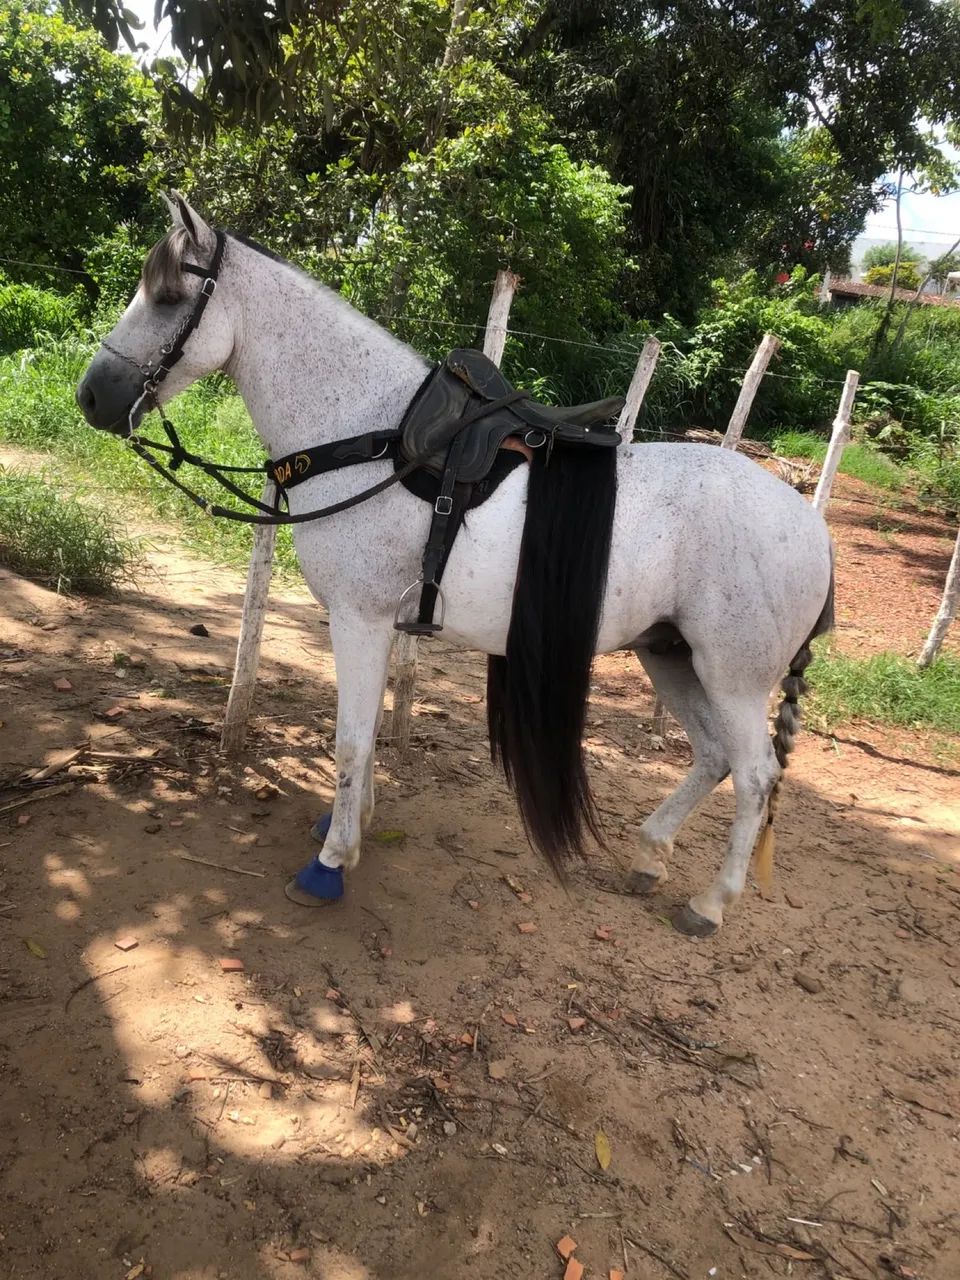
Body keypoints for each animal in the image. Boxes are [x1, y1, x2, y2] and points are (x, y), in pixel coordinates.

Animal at [76, 194, 835, 937]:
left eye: (170, 297)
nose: (92, 397)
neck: (372, 435)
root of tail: (814, 531)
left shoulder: (359, 619)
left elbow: (350, 742)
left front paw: (330, 862)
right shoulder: (377, 624)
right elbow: (364, 739)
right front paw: (353, 821)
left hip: (732, 678)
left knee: (756, 775)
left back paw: (710, 903)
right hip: (670, 655)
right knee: (713, 756)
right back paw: (650, 856)